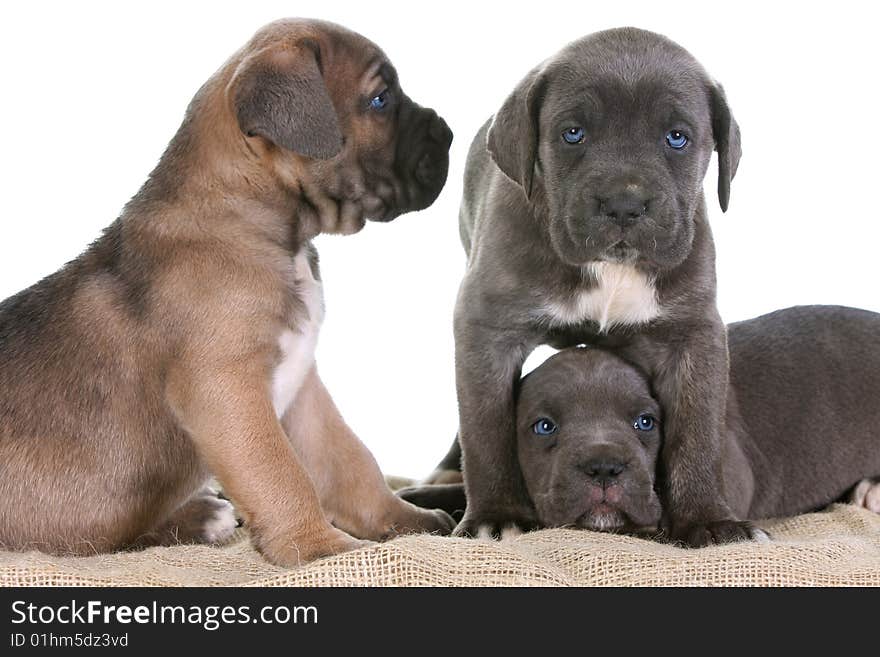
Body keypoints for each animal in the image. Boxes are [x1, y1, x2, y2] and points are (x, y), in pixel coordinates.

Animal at [436, 28, 752, 544]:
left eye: (677, 137)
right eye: (572, 133)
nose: (624, 203)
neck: (611, 269)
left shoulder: (691, 333)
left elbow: (696, 432)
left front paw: (707, 519)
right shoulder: (487, 330)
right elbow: (486, 429)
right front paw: (496, 515)